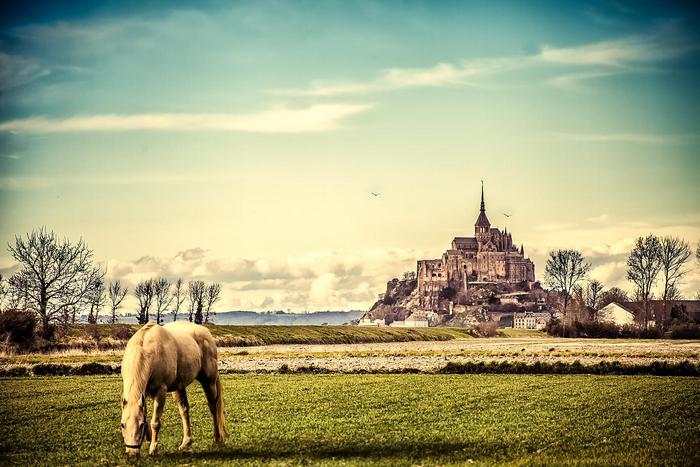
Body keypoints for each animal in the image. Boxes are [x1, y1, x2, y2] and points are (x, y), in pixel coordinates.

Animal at [120, 322, 227, 458]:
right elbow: (145, 416)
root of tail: (206, 332)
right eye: (122, 425)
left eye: (140, 425)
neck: (147, 351)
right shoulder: (143, 394)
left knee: (213, 408)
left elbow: (155, 422)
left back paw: (217, 438)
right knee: (184, 411)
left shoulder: (160, 392)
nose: (132, 452)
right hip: (179, 388)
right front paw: (148, 441)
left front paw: (153, 448)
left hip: (209, 382)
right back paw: (186, 442)